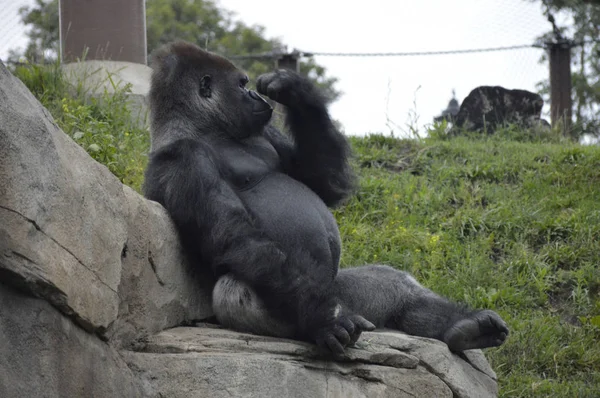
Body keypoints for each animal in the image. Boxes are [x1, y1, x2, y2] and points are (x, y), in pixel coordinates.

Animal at [143, 42, 508, 356]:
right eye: (241, 84)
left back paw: (465, 327)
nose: (254, 94)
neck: (206, 129)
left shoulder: (266, 130)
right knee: (235, 292)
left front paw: (295, 90)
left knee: (393, 284)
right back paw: (318, 322)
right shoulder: (184, 160)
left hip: (339, 290)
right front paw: (321, 320)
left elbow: (323, 184)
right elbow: (237, 238)